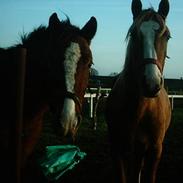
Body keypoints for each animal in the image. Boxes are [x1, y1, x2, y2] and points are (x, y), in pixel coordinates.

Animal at [106, 0, 172, 182]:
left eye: (167, 36)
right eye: (133, 34)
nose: (151, 83)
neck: (140, 109)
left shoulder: (155, 150)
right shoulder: (117, 149)